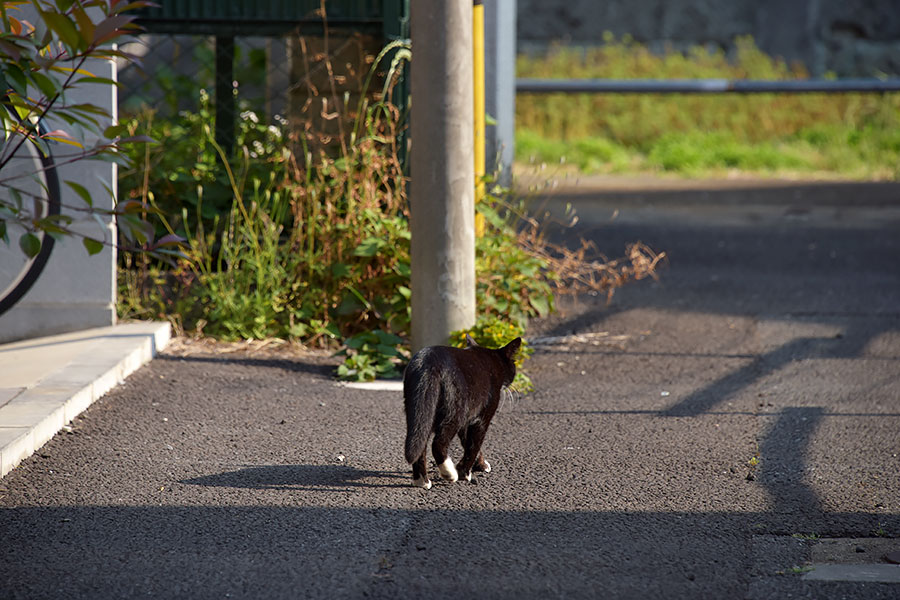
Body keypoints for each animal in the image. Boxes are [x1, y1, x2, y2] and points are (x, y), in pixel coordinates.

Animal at [402, 336, 520, 490]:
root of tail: (427, 364)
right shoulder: (482, 417)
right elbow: (474, 445)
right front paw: (464, 473)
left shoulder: (468, 419)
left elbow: (467, 442)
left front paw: (481, 465)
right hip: (454, 412)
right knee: (438, 443)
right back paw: (450, 473)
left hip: (419, 411)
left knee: (420, 441)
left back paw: (422, 481)